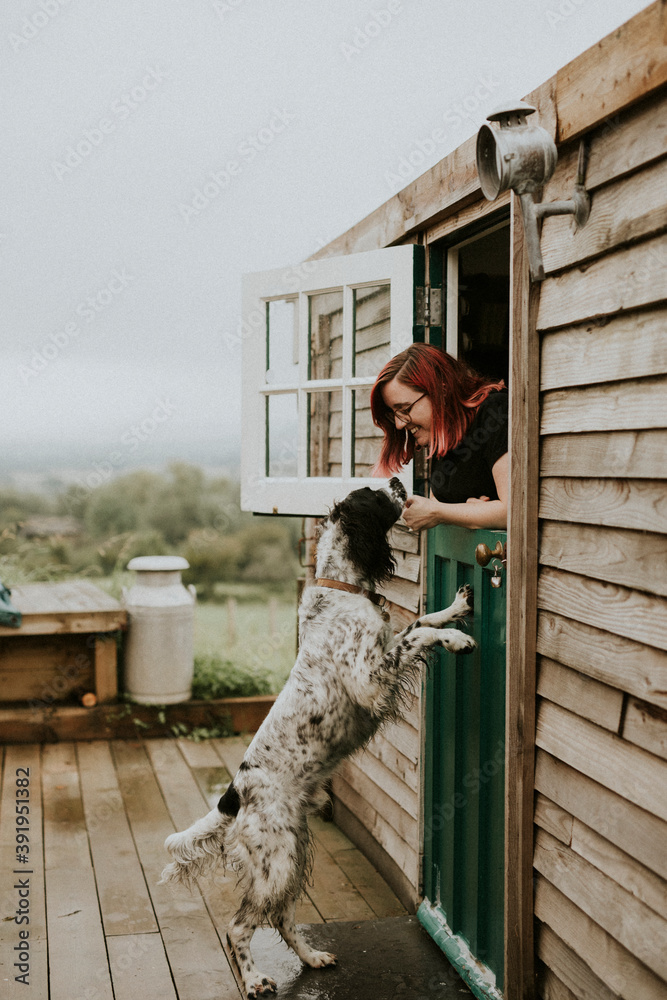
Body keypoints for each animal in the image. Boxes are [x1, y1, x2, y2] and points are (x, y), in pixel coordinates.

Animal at [161, 480, 474, 996]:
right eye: (376, 494)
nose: (399, 481)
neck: (342, 590)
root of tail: (233, 795)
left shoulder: (383, 652)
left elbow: (419, 622)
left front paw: (456, 606)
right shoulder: (370, 681)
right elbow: (419, 637)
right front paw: (457, 640)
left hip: (293, 850)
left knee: (283, 918)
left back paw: (312, 958)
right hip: (275, 862)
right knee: (239, 926)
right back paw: (255, 980)